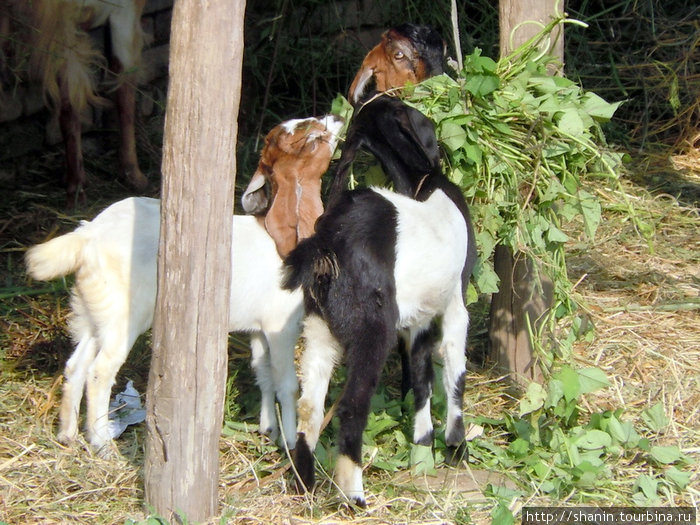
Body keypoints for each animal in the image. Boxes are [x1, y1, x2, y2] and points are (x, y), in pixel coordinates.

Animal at [1, 0, 148, 205]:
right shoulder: (61, 23)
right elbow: (69, 105)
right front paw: (76, 189)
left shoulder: (127, 11)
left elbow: (125, 90)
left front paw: (133, 174)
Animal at [27, 114, 344, 454]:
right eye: (308, 134)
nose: (338, 117)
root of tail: (89, 236)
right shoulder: (278, 326)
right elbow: (286, 383)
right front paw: (290, 443)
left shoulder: (257, 328)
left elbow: (263, 374)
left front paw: (268, 428)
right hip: (125, 316)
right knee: (99, 371)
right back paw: (101, 443)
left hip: (95, 311)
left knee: (76, 364)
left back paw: (68, 433)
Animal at [284, 96, 476, 506]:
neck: (424, 181)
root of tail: (326, 245)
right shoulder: (455, 302)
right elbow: (454, 371)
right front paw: (456, 445)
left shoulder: (418, 318)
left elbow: (420, 376)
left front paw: (423, 442)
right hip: (372, 330)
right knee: (351, 406)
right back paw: (353, 494)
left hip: (319, 327)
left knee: (310, 405)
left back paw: (305, 483)